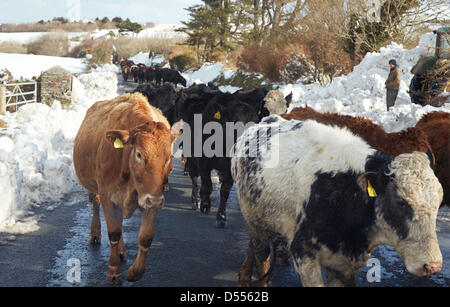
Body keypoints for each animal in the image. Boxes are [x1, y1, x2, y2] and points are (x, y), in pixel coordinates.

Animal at [73, 94, 182, 286]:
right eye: (139, 154)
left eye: (169, 157)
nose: (155, 200)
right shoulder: (108, 196)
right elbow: (114, 233)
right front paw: (113, 272)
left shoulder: (153, 198)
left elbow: (145, 237)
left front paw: (134, 272)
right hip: (93, 187)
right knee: (95, 204)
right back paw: (95, 234)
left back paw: (122, 251)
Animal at [232, 116, 442, 288]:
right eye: (401, 202)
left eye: (438, 203)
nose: (432, 265)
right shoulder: (304, 254)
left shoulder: (344, 266)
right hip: (258, 227)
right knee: (262, 259)